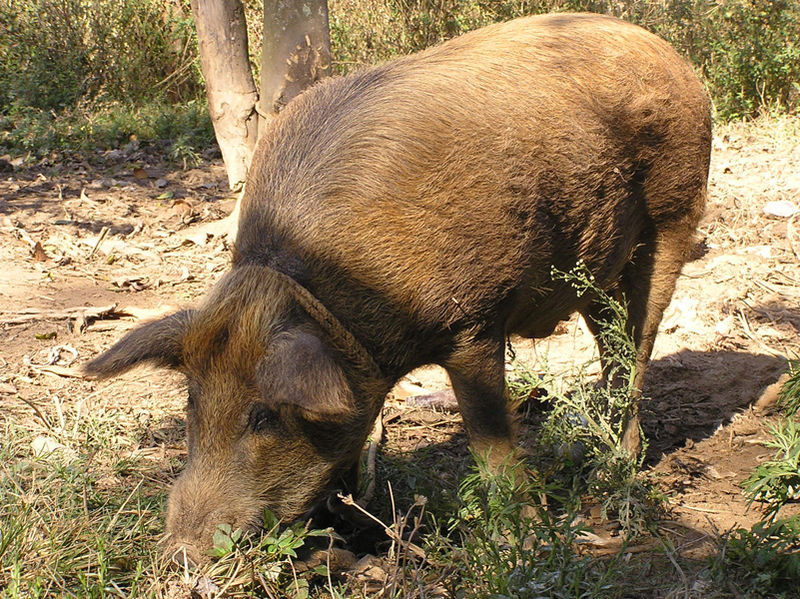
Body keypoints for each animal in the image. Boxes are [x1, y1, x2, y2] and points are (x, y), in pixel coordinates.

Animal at [86, 12, 712, 564]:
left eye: (263, 415)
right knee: (612, 346)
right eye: (192, 401)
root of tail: (676, 60)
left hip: (675, 216)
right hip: (597, 269)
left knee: (639, 348)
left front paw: (523, 542)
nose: (180, 554)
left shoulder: (472, 322)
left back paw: (612, 472)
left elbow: (489, 439)